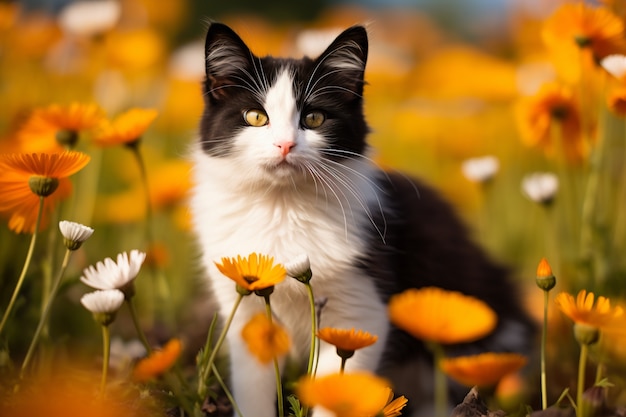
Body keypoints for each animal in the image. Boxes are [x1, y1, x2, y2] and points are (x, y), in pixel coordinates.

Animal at [190, 22, 532, 416]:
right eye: (256, 117)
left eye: (314, 118)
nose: (285, 145)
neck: (282, 208)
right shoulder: (247, 311)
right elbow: (252, 389)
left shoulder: (361, 312)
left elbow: (338, 390)